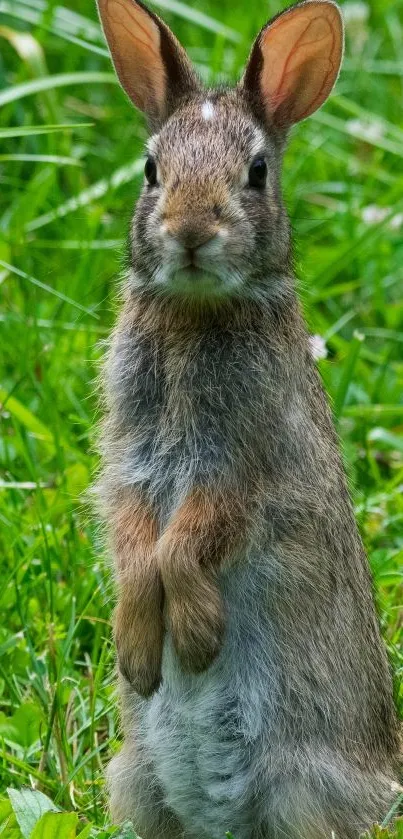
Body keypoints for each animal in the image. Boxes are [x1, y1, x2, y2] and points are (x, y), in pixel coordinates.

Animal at [95, 0, 400, 836]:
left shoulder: (247, 470)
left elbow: (188, 540)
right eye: (151, 169)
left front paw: (195, 638)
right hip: (136, 780)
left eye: (256, 172)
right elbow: (135, 541)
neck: (195, 312)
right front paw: (139, 650)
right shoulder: (129, 460)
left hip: (301, 787)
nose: (190, 232)